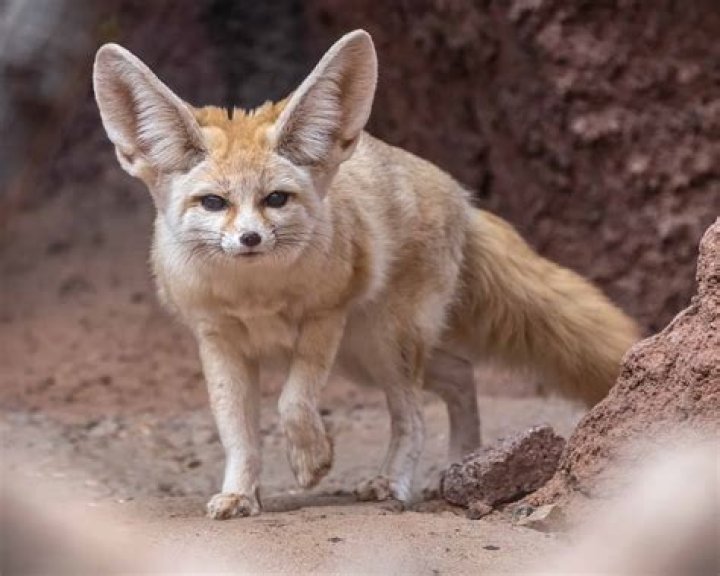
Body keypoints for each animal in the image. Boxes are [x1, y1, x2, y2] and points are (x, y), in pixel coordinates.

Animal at [93, 30, 639, 520]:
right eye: (213, 203)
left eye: (276, 199)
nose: (250, 239)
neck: (256, 295)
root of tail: (461, 196)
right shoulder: (218, 339)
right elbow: (237, 433)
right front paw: (239, 495)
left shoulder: (324, 318)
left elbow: (293, 403)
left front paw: (311, 460)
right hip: (365, 357)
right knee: (460, 374)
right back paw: (464, 462)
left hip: (380, 343)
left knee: (414, 416)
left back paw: (394, 483)